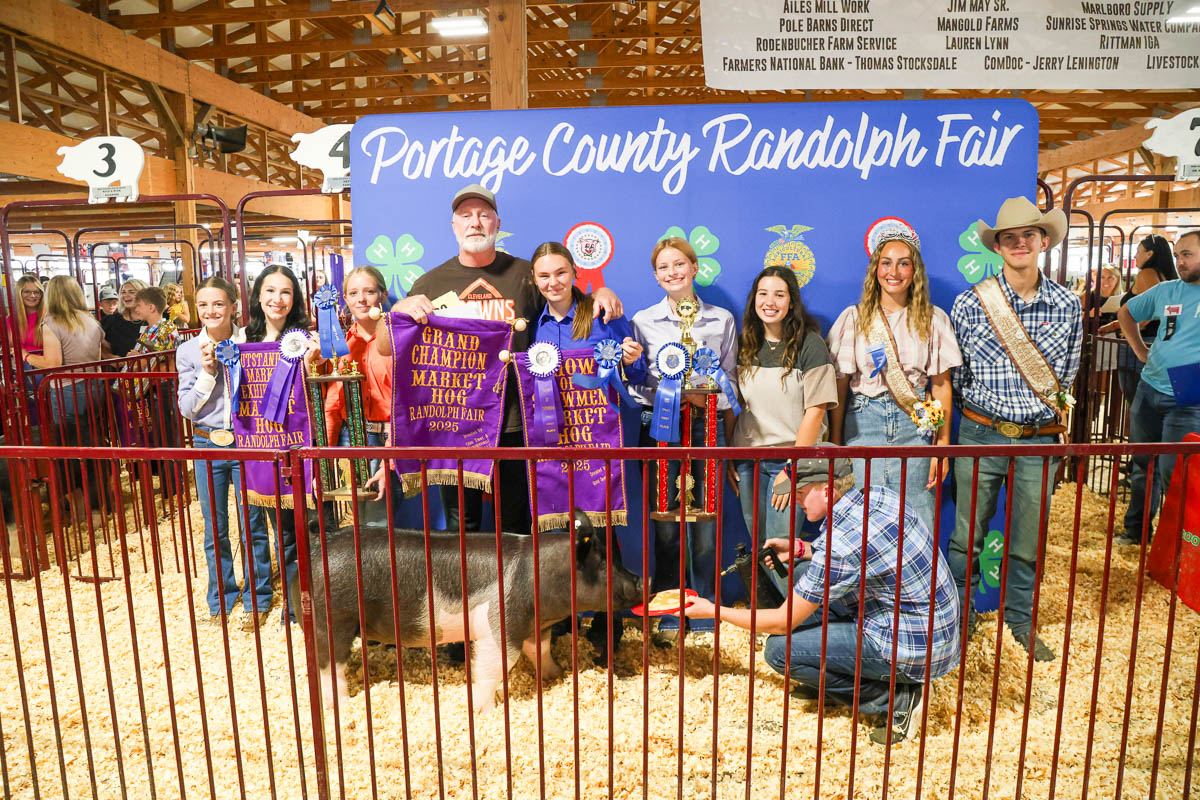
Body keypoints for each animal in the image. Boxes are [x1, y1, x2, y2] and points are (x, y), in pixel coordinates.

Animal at [289, 511, 643, 714]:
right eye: (602, 564)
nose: (645, 580)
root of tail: (318, 545)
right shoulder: (500, 622)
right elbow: (493, 666)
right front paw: (486, 712)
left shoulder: (533, 626)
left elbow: (539, 650)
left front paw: (555, 675)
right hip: (334, 619)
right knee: (329, 666)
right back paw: (340, 705)